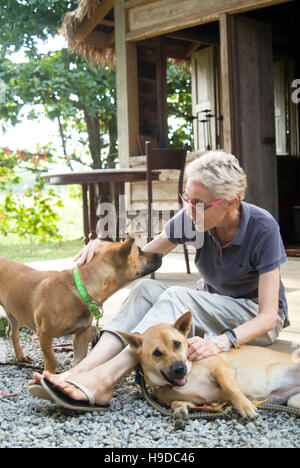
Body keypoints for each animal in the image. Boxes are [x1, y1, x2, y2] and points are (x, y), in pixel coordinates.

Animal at [0, 238, 162, 372]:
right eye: (140, 251)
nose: (160, 254)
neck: (80, 289)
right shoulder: (44, 335)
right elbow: (52, 360)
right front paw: (48, 374)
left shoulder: (82, 333)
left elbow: (80, 360)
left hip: (13, 314)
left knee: (12, 334)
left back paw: (20, 356)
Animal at [119, 312, 300, 430]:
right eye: (157, 353)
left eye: (177, 344)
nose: (179, 369)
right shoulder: (198, 401)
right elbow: (178, 402)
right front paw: (180, 411)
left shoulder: (222, 369)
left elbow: (230, 388)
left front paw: (244, 406)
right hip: (293, 401)